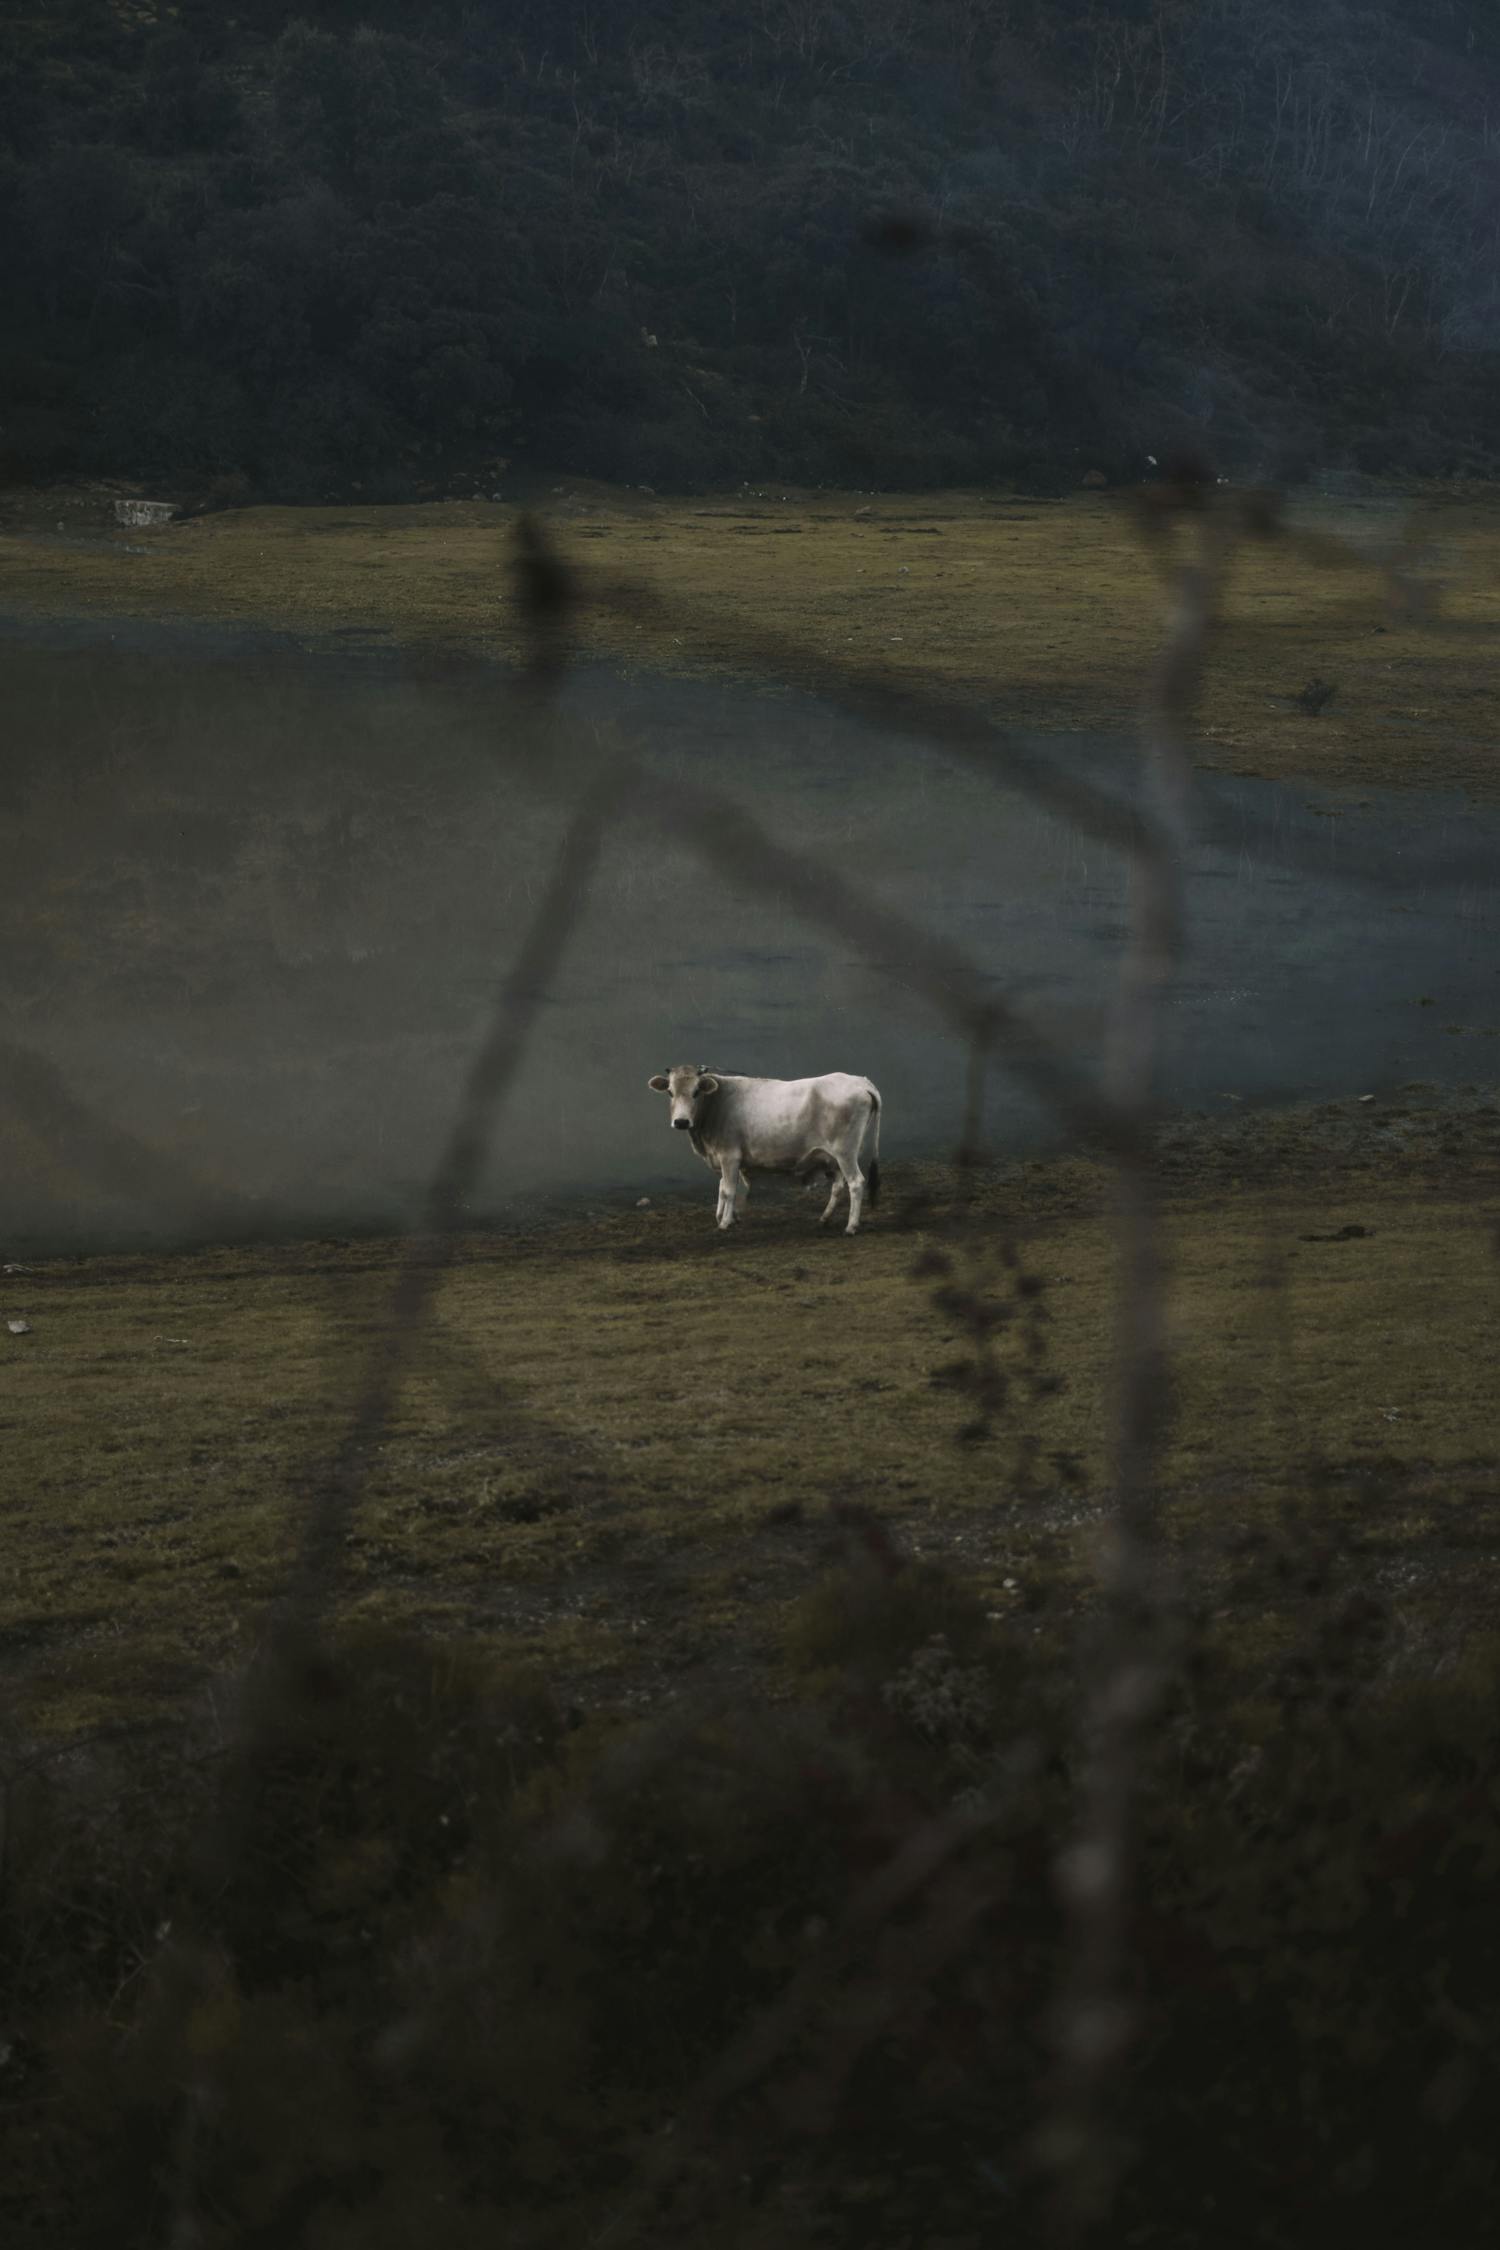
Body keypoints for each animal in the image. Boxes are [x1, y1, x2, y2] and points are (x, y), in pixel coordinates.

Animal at [647, 1066, 881, 1242]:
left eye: (696, 1092)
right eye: (670, 1092)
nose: (681, 1121)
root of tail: (861, 1082)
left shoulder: (729, 1156)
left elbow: (729, 1190)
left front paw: (724, 1223)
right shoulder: (723, 1158)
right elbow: (723, 1188)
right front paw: (727, 1217)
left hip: (845, 1151)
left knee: (856, 1182)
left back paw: (851, 1227)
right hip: (833, 1157)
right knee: (838, 1185)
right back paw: (824, 1218)